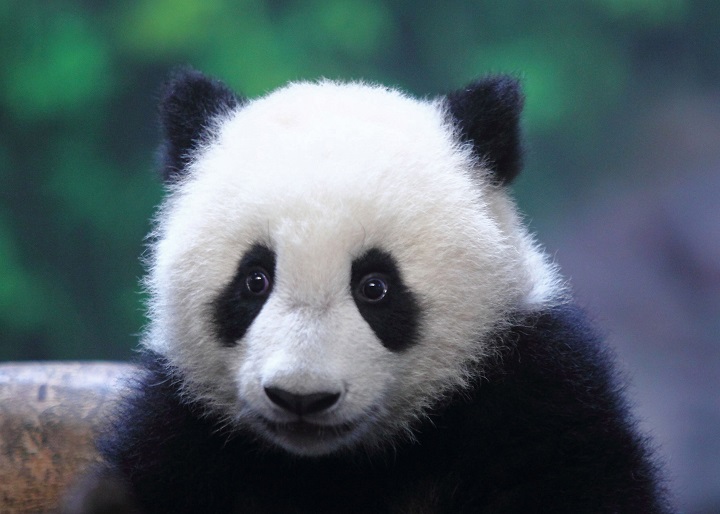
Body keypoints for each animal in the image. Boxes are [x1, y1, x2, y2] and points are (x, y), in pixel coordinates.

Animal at [70, 69, 670, 513]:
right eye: (255, 280)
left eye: (375, 287)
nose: (301, 397)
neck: (338, 466)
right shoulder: (183, 431)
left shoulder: (531, 393)